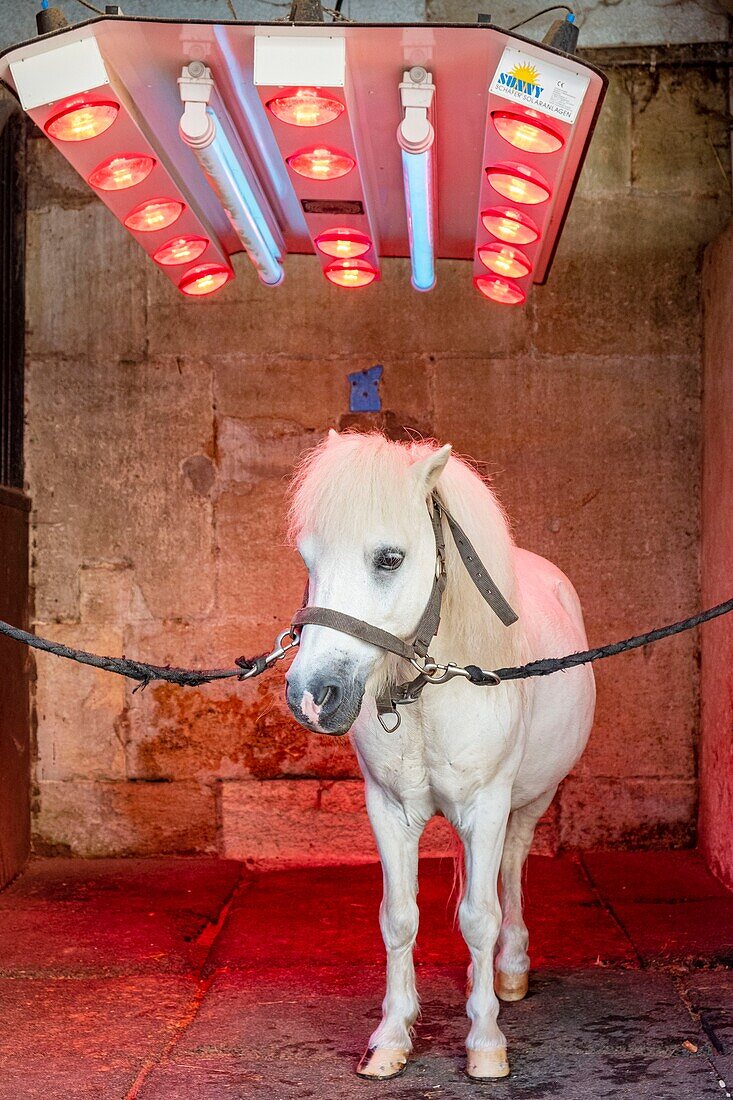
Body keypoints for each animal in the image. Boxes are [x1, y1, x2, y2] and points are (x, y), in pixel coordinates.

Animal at [283, 431, 594, 1082]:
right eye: (308, 560)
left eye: (390, 558)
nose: (310, 695)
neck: (428, 689)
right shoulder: (388, 810)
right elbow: (400, 917)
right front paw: (391, 1037)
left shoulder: (487, 806)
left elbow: (478, 917)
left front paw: (484, 1043)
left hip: (531, 799)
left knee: (510, 870)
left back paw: (511, 969)